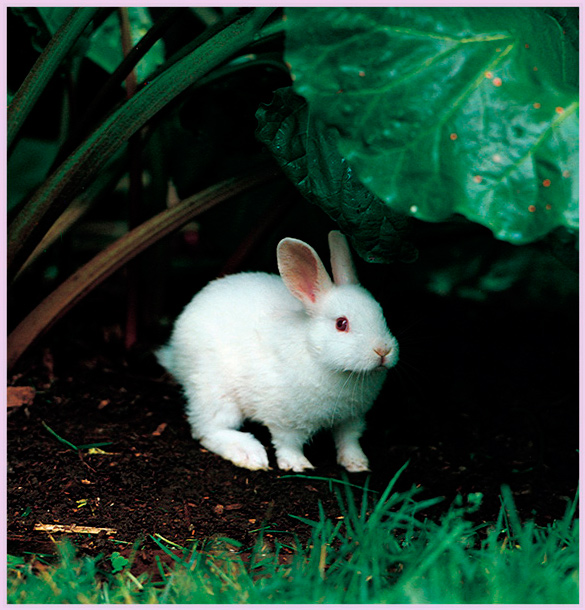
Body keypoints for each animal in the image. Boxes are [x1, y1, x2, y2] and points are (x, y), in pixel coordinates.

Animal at [157, 228, 400, 470]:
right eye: (341, 324)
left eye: (381, 313)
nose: (383, 350)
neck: (315, 353)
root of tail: (176, 352)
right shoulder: (286, 420)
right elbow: (288, 444)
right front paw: (298, 465)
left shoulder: (351, 418)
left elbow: (349, 439)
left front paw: (357, 464)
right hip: (214, 391)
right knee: (207, 430)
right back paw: (248, 454)